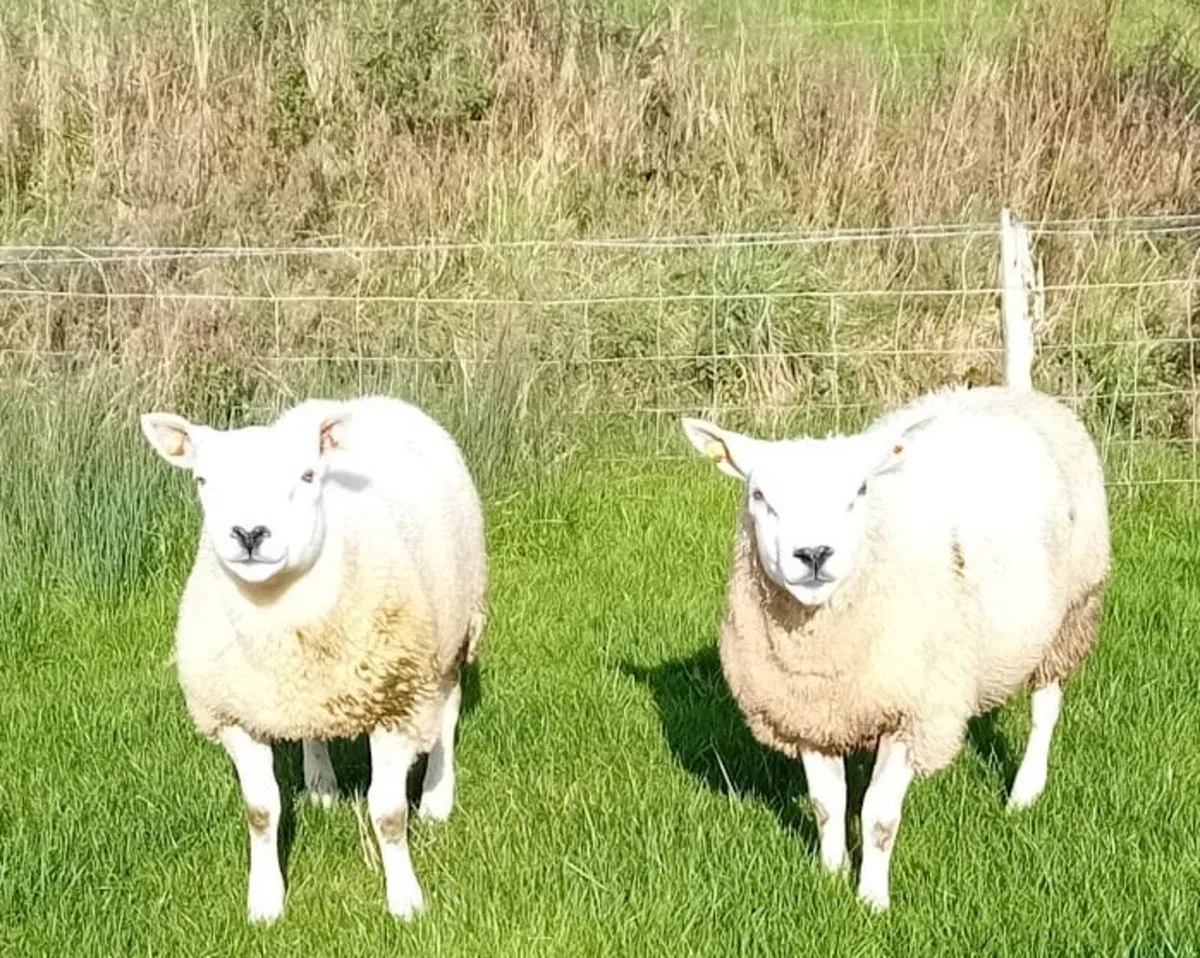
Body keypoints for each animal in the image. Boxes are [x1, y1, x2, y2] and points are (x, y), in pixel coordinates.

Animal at [140, 395, 487, 924]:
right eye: (202, 479)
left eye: (307, 476)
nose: (249, 534)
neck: (279, 616)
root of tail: (368, 399)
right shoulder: (237, 714)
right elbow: (260, 812)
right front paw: (265, 902)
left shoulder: (395, 701)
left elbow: (388, 815)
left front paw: (405, 901)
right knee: (312, 729)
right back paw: (322, 784)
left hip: (450, 634)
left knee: (446, 715)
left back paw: (436, 798)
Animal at [680, 384, 1109, 911]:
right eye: (759, 495)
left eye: (859, 493)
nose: (814, 554)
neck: (820, 646)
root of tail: (1013, 389)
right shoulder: (811, 713)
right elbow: (827, 806)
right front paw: (829, 877)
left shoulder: (912, 714)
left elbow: (878, 817)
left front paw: (871, 899)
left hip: (1073, 610)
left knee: (1045, 708)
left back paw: (1025, 790)